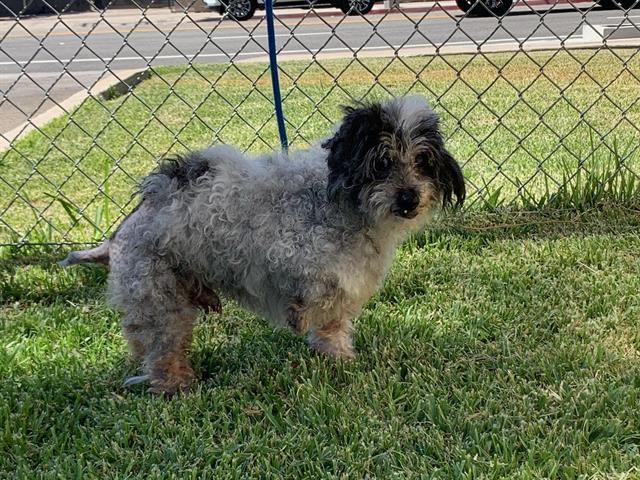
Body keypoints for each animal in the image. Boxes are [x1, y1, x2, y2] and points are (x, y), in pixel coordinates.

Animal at [60, 94, 464, 394]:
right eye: (381, 162)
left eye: (422, 160)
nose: (409, 198)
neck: (341, 204)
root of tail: (120, 232)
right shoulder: (294, 256)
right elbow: (312, 296)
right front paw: (298, 318)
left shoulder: (342, 286)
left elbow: (332, 324)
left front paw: (337, 358)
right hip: (160, 302)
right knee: (162, 353)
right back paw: (176, 387)